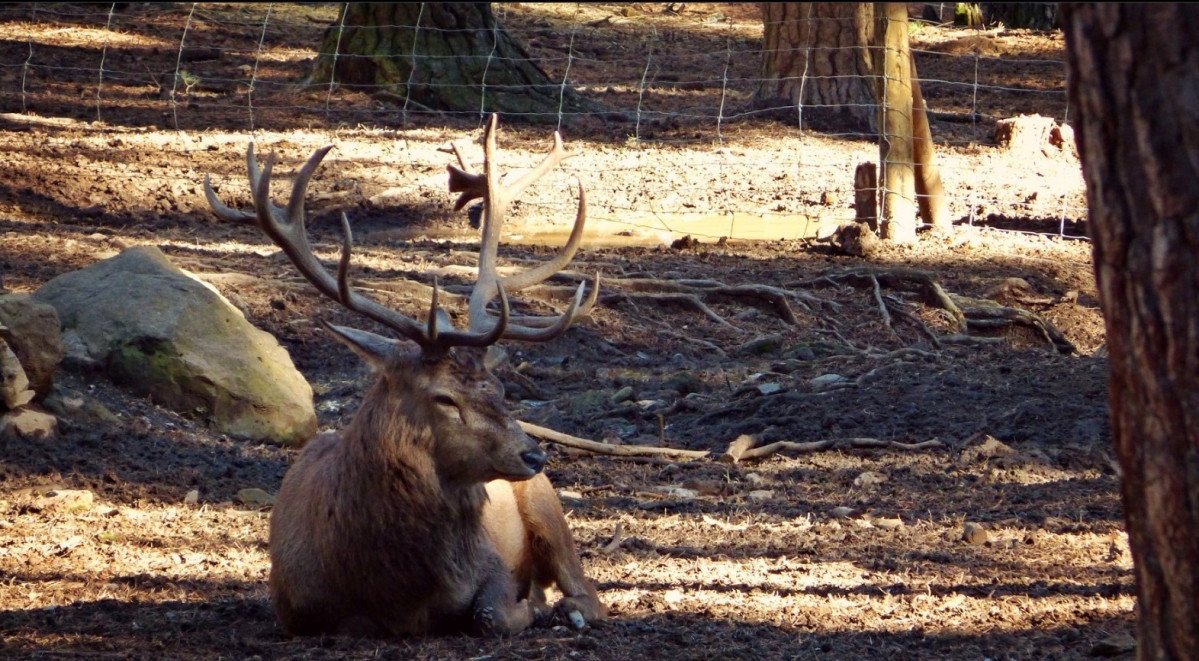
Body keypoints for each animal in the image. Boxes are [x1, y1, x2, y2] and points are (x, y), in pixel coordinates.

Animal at [203, 115, 609, 643]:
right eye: (444, 398)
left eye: (500, 390)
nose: (533, 454)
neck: (399, 588)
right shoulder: (291, 604)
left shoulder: (493, 566)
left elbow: (490, 613)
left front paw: (532, 609)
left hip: (547, 505)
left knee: (587, 592)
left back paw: (566, 607)